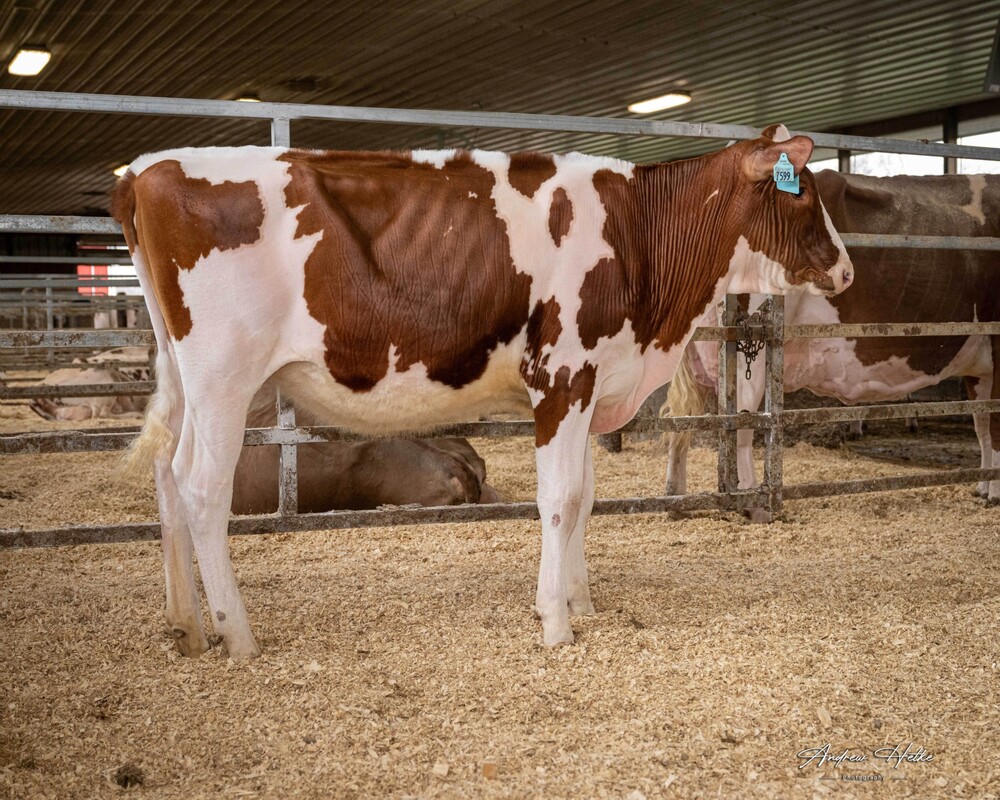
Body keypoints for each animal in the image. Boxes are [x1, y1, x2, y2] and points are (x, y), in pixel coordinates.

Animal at [664, 170, 1000, 521]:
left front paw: (983, 485)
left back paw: (677, 501)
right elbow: (995, 427)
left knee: (681, 423)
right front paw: (994, 492)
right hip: (748, 353)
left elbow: (982, 425)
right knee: (741, 428)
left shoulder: (979, 370)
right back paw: (755, 506)